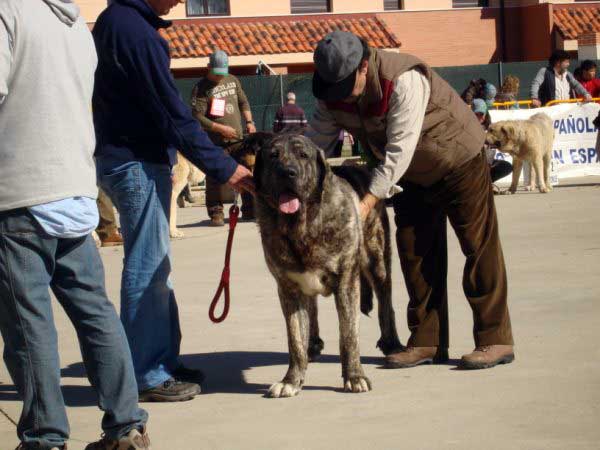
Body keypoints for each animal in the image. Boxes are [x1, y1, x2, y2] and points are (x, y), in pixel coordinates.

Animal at [244, 133, 404, 398]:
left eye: (303, 155)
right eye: (273, 155)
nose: (287, 173)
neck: (302, 226)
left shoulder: (347, 283)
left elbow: (348, 336)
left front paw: (355, 377)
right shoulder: (288, 289)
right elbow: (295, 339)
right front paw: (291, 380)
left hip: (377, 261)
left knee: (385, 301)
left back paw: (392, 343)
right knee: (312, 310)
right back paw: (313, 344)